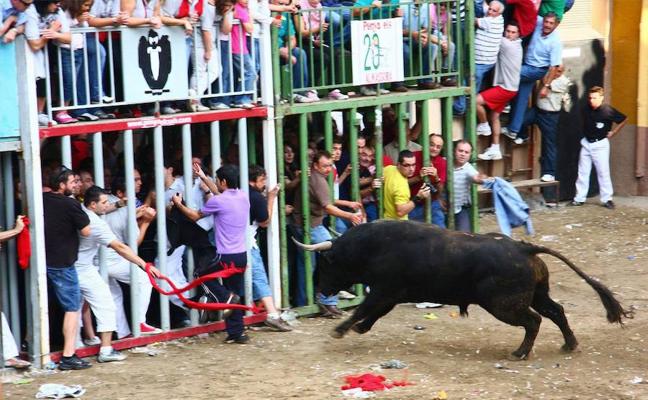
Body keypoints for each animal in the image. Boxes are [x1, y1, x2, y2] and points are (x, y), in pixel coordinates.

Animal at [294, 220, 632, 360]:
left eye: (325, 265)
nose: (320, 290)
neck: (371, 247)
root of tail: (524, 248)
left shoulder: (384, 289)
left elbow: (367, 308)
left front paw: (341, 330)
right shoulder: (391, 293)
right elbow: (375, 314)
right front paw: (359, 329)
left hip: (504, 305)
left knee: (534, 320)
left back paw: (520, 353)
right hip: (536, 294)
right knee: (556, 312)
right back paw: (569, 345)